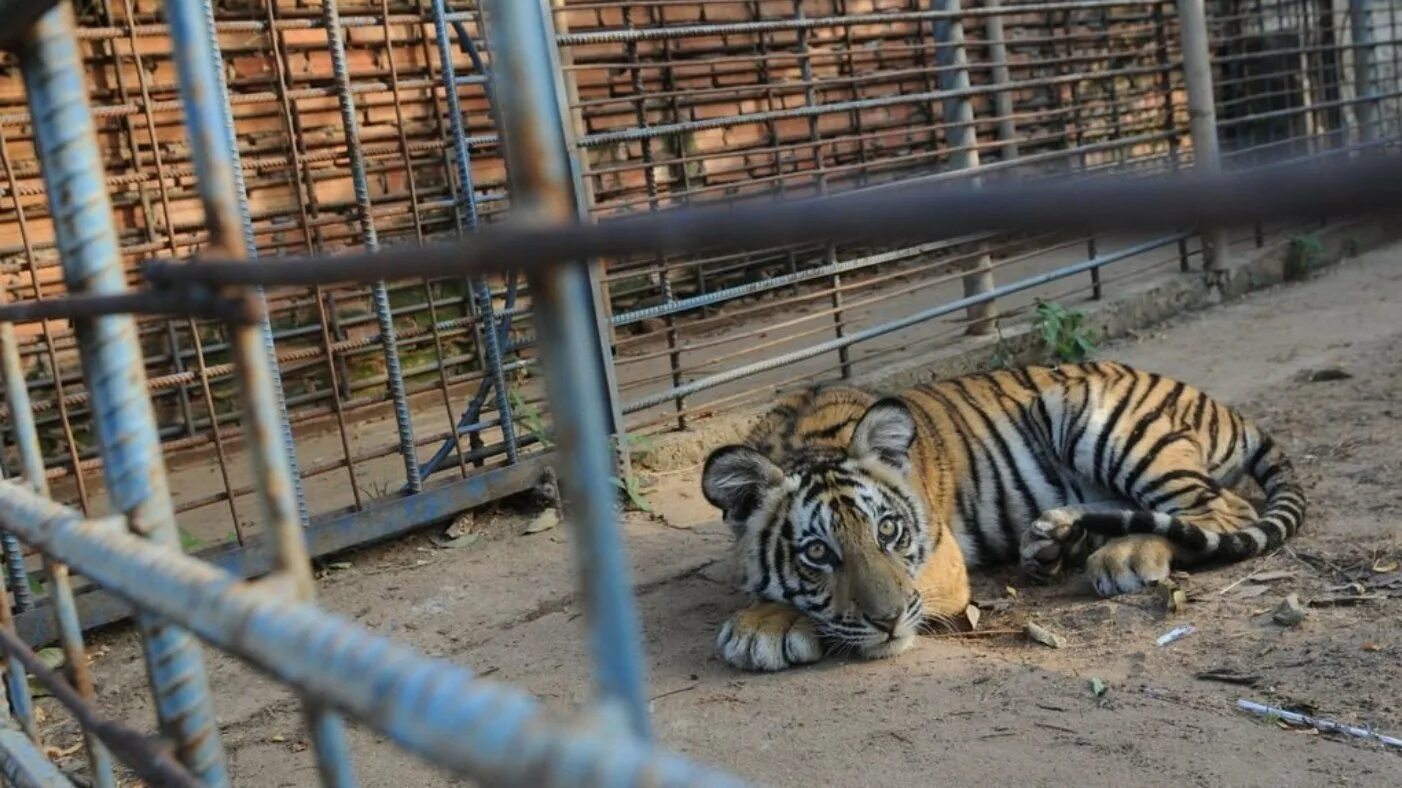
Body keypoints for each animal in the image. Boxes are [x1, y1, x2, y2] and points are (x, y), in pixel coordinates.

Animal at [706, 358, 1306, 664]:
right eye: (817, 552)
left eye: (889, 530)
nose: (890, 620)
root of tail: (1219, 404)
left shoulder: (940, 561)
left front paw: (762, 626)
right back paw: (1053, 539)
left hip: (1101, 419)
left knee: (1219, 510)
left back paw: (1122, 556)